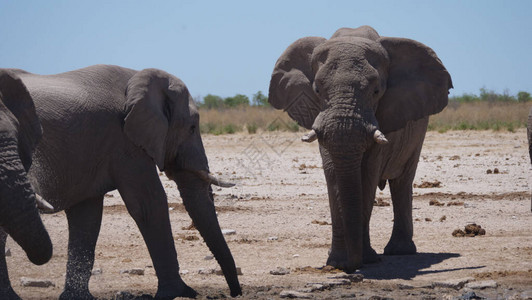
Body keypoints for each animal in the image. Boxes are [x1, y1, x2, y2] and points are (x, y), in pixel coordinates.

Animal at [5, 65, 242, 298]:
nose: (235, 293)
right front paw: (179, 293)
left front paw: (78, 298)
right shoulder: (124, 141)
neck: (137, 78)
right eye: (192, 128)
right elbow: (149, 204)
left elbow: (87, 216)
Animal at [268, 25, 450, 272]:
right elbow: (333, 174)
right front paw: (336, 262)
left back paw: (399, 251)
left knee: (402, 181)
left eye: (376, 91)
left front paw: (367, 259)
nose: (352, 268)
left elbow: (368, 174)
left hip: (419, 130)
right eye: (317, 90)